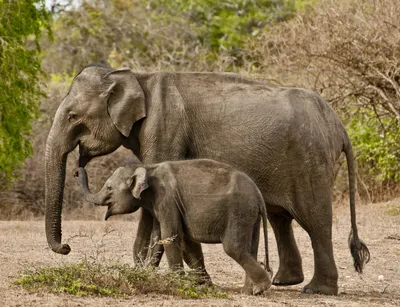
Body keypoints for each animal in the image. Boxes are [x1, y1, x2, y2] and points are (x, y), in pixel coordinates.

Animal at [78, 160, 272, 294]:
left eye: (109, 187)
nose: (76, 171)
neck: (147, 167)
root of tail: (258, 194)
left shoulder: (167, 199)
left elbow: (170, 235)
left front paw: (176, 283)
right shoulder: (160, 205)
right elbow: (160, 238)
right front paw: (148, 276)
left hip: (238, 211)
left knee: (233, 248)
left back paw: (261, 288)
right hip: (250, 216)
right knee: (250, 248)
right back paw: (249, 292)